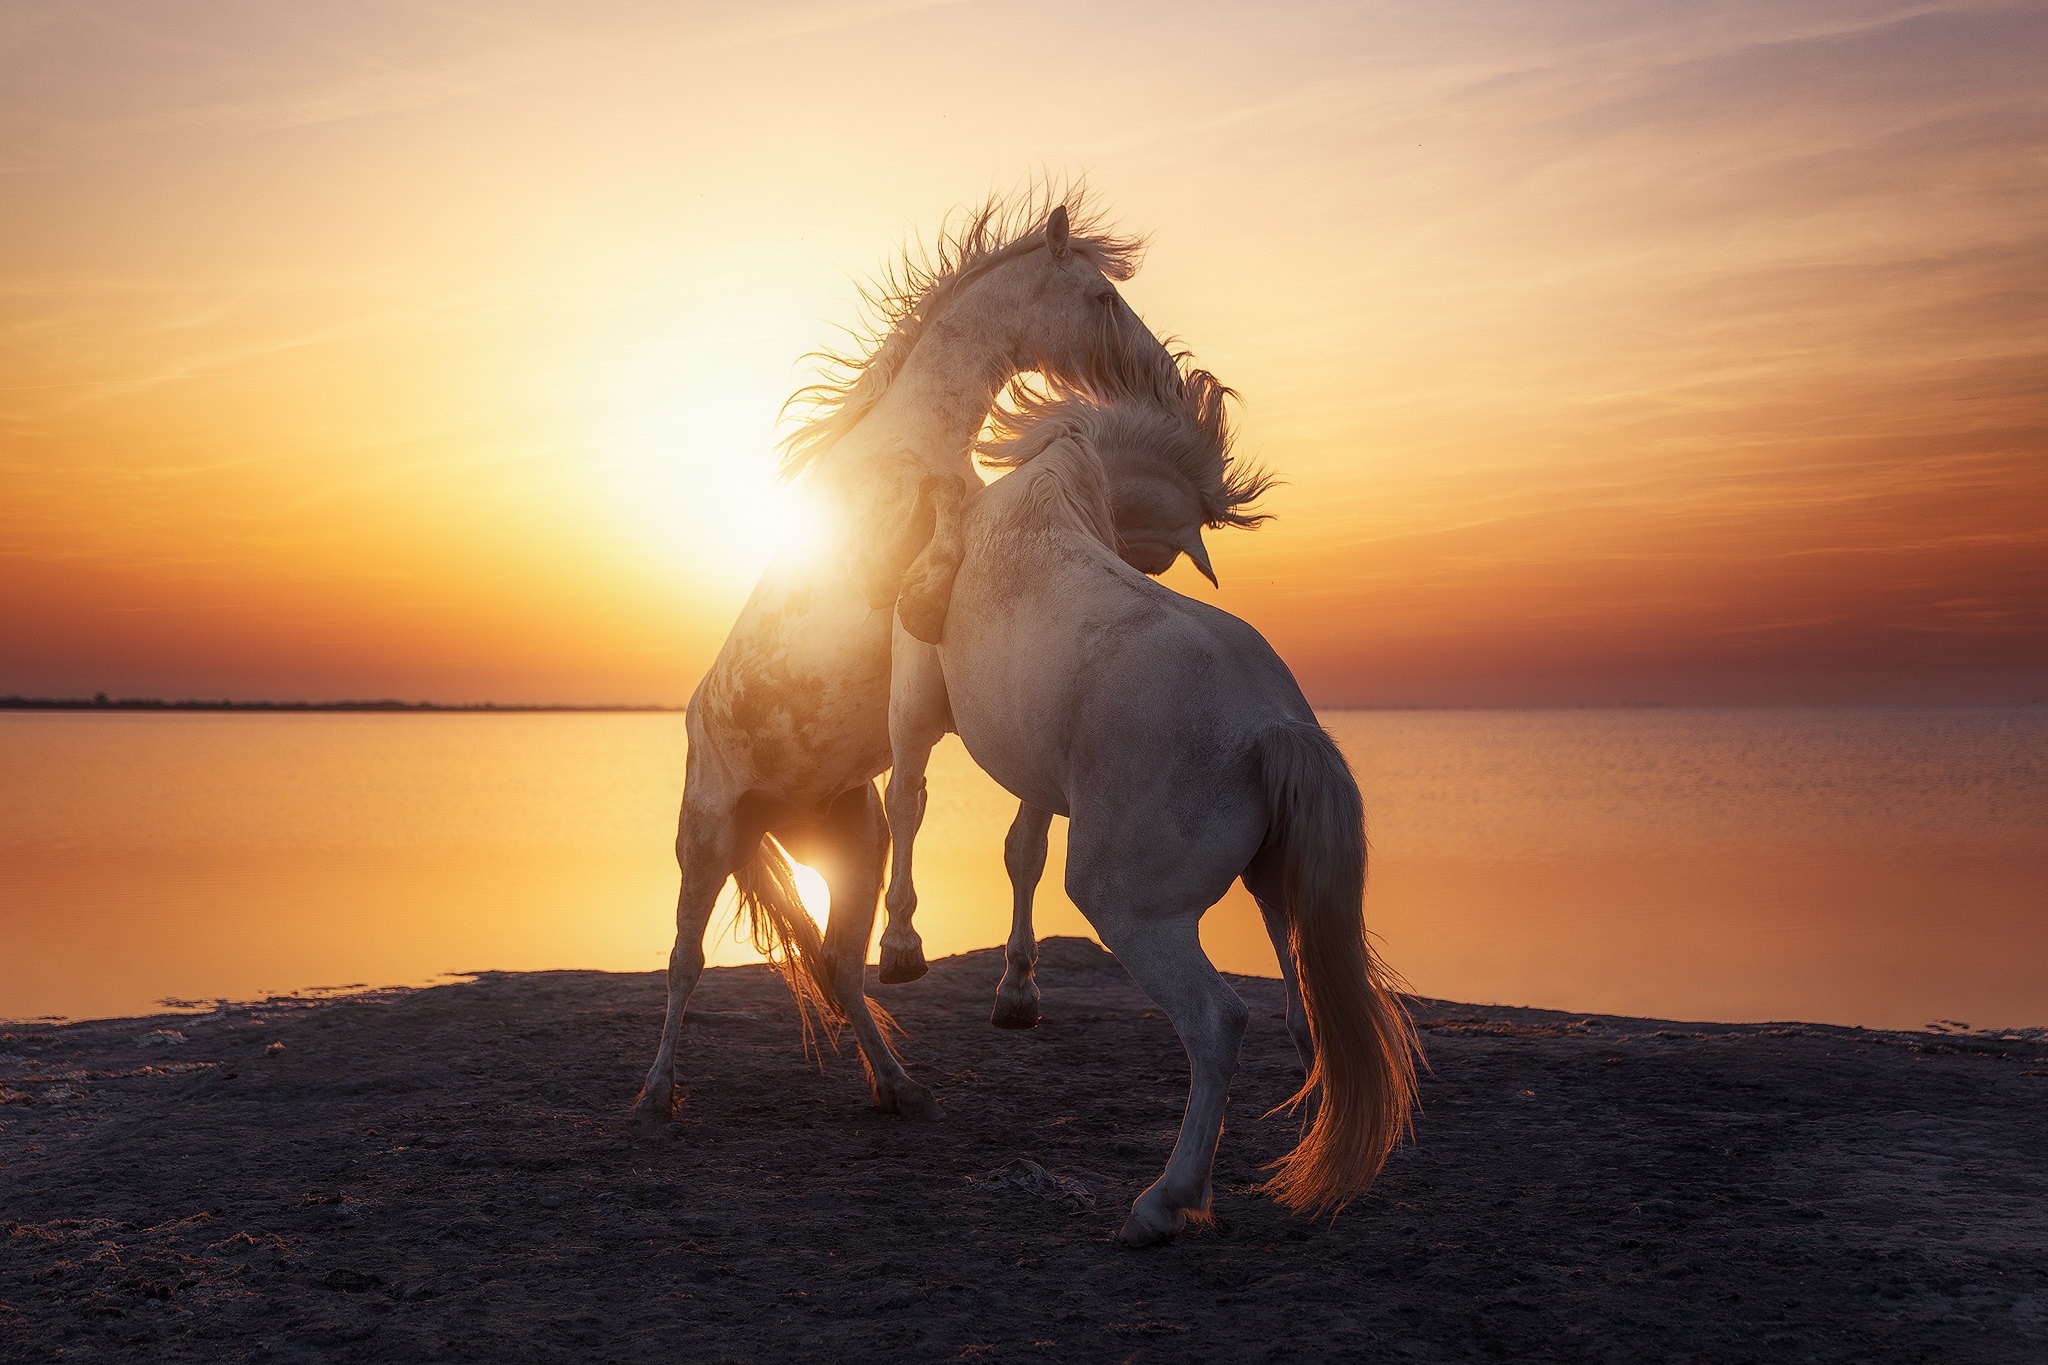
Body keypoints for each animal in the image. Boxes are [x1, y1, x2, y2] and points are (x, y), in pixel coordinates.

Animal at [632, 189, 1175, 1126]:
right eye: (1101, 298)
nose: (1159, 375)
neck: (909, 442)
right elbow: (936, 549)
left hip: (854, 843)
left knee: (840, 965)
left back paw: (897, 1081)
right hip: (704, 840)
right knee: (684, 962)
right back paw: (659, 1090)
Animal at [876, 359, 1273, 1034]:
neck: (1057, 475)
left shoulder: (1035, 752)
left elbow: (1023, 852)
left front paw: (1018, 986)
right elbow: (939, 818)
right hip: (913, 712)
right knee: (904, 802)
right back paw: (901, 945)